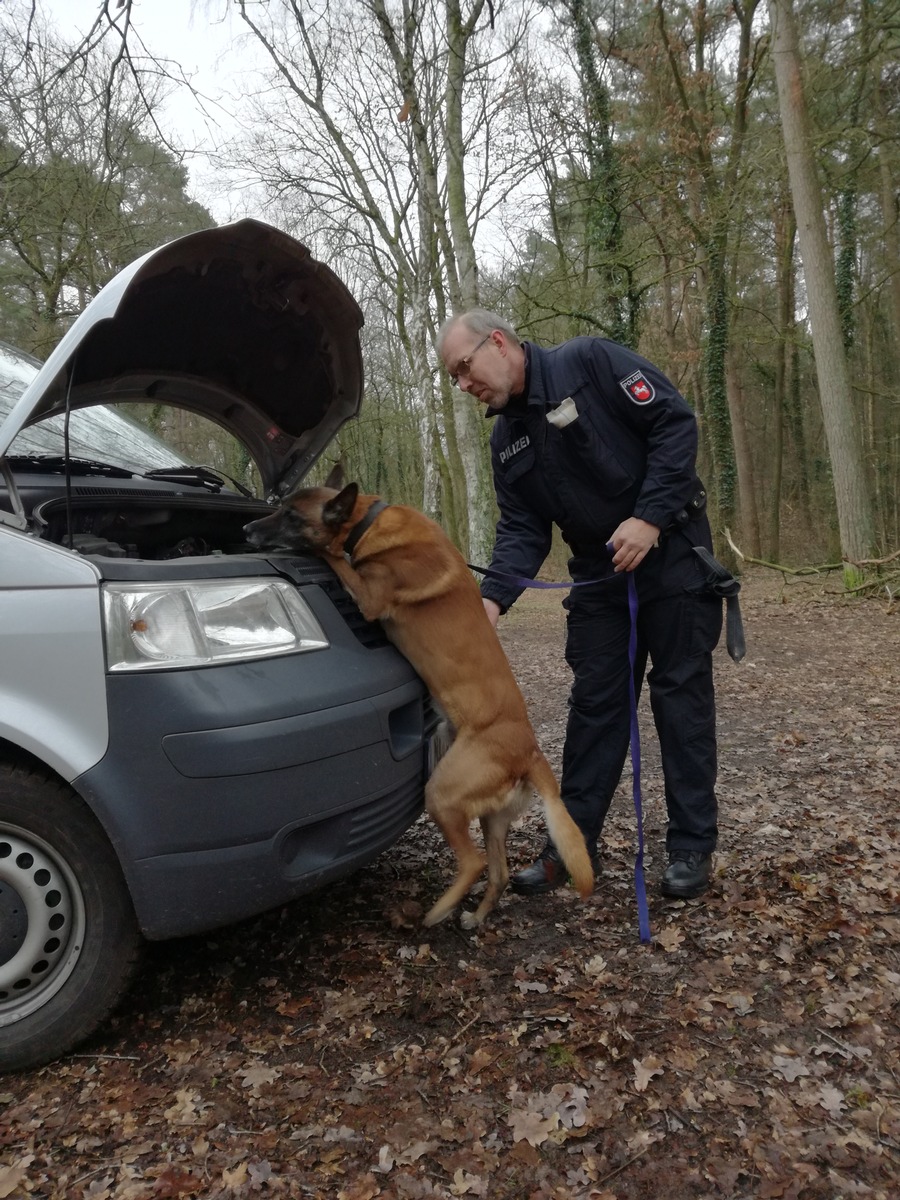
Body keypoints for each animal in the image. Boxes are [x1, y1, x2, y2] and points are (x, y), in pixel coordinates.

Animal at [247, 468, 595, 926]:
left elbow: (335, 557)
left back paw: (440, 910)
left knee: (475, 862)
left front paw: (328, 551)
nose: (246, 530)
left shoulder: (369, 596)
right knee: (498, 872)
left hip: (443, 795)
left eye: (290, 516)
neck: (366, 521)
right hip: (491, 818)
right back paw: (475, 916)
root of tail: (531, 751)